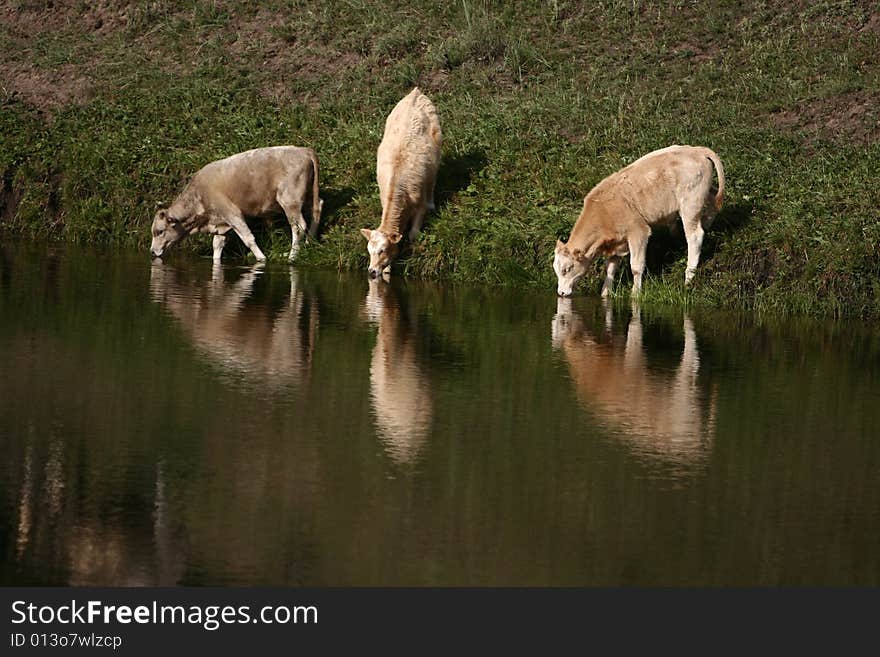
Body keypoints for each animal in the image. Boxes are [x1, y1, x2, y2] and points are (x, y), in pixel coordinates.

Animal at [150, 145, 324, 262]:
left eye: (159, 231)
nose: (151, 252)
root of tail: (303, 150)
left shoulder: (232, 213)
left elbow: (248, 238)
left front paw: (262, 259)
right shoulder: (220, 222)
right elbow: (217, 245)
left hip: (289, 199)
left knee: (298, 225)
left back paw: (292, 256)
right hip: (308, 194)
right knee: (317, 208)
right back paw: (310, 241)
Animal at [358, 87, 440, 276]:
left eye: (383, 250)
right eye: (369, 251)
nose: (371, 271)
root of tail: (415, 92)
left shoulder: (419, 204)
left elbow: (413, 234)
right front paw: (387, 269)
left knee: (433, 179)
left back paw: (432, 202)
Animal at [552, 146, 724, 298]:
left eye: (567, 269)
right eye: (556, 269)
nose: (561, 293)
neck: (603, 211)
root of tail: (697, 150)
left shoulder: (638, 231)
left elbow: (636, 267)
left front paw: (635, 294)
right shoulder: (617, 242)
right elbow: (610, 270)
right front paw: (605, 294)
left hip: (690, 204)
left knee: (695, 235)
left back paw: (689, 277)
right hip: (703, 196)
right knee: (713, 202)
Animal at [552, 300, 720, 468]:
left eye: (563, 323)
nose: (561, 294)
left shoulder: (633, 358)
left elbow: (634, 326)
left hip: (683, 391)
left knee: (691, 353)